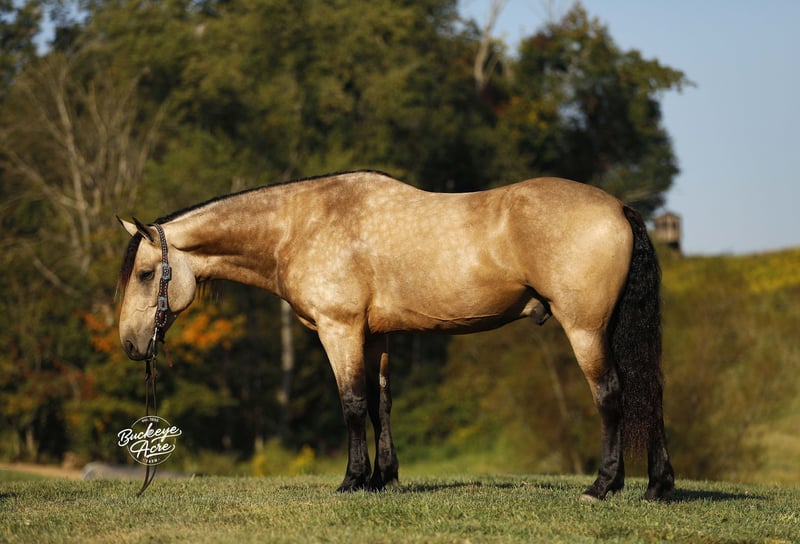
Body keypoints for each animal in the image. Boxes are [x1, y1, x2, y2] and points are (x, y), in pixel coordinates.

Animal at [117, 170, 674, 501]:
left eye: (144, 274)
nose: (129, 344)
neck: (301, 226)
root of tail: (619, 207)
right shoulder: (375, 336)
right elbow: (381, 404)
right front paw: (383, 478)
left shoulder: (340, 330)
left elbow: (352, 404)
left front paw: (352, 480)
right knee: (648, 394)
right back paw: (658, 486)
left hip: (585, 329)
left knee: (611, 396)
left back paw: (602, 485)